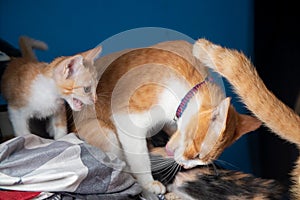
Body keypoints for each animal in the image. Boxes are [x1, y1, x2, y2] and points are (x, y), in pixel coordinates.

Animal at [72, 40, 260, 195]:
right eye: (197, 155)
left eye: (201, 162)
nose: (185, 166)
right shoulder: (127, 119)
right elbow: (139, 157)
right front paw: (148, 184)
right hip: (107, 136)